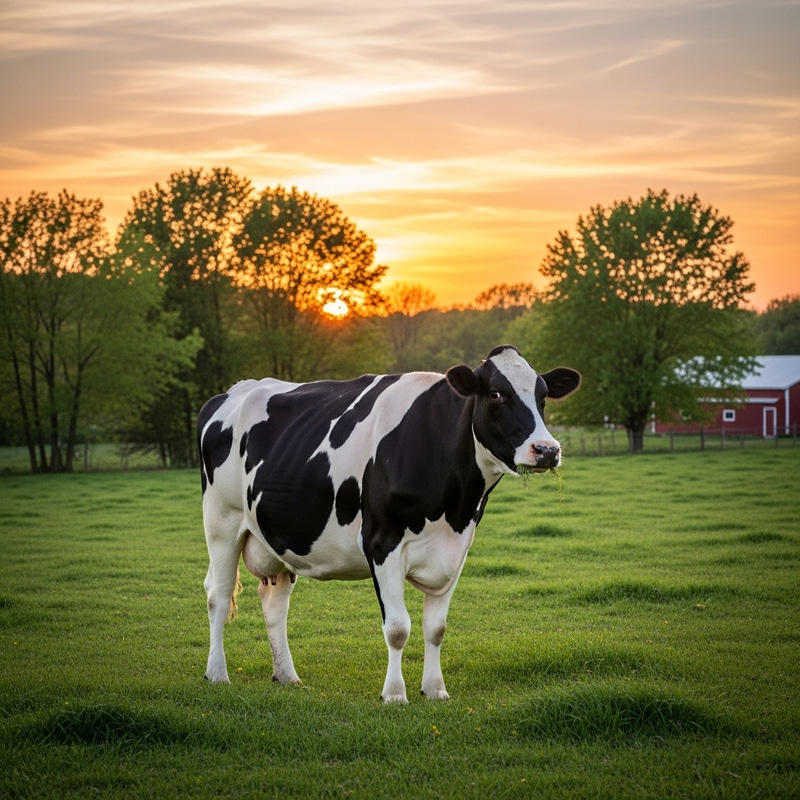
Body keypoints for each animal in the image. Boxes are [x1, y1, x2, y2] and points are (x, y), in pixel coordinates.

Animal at [198, 345, 580, 703]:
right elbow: (397, 628)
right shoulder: (382, 543)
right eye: (496, 394)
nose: (547, 450)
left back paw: (287, 675)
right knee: (218, 596)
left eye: (543, 396)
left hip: (278, 538)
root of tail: (231, 392)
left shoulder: (456, 549)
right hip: (221, 521)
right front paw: (395, 694)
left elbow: (436, 628)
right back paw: (216, 674)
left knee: (274, 601)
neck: (452, 506)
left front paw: (435, 689)